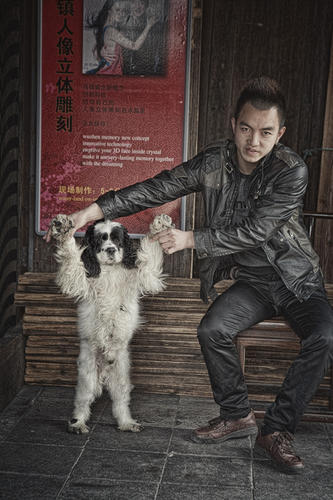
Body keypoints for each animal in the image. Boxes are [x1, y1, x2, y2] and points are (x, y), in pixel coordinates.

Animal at [50, 214, 172, 434]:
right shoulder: (79, 278)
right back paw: (78, 423)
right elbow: (71, 259)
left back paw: (126, 423)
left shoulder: (143, 275)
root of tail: (105, 371)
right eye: (100, 240)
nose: (110, 250)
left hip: (121, 376)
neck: (110, 269)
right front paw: (62, 228)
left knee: (120, 401)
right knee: (83, 401)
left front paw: (159, 225)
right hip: (88, 375)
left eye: (117, 240)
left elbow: (149, 256)